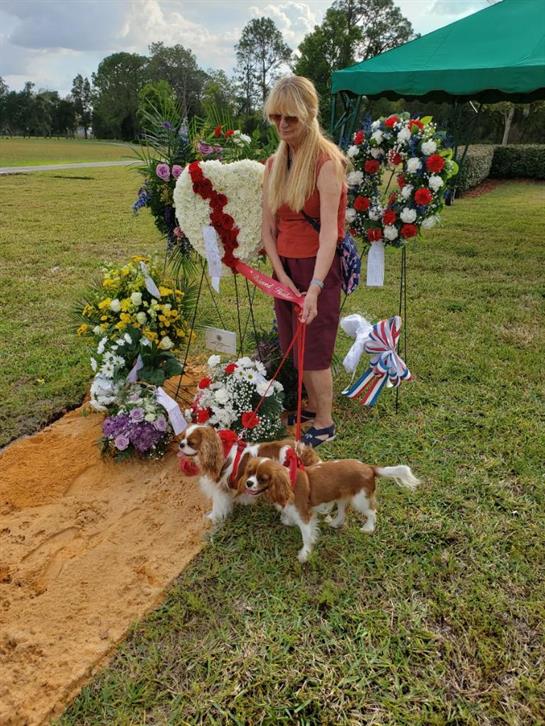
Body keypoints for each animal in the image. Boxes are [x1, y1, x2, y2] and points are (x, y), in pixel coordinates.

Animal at [178, 424, 320, 525]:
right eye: (183, 437)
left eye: (191, 443)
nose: (181, 444)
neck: (221, 449)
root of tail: (301, 450)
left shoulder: (219, 489)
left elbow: (217, 505)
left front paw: (213, 517)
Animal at [240, 456, 420, 562]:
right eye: (249, 473)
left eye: (262, 479)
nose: (248, 483)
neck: (288, 482)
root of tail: (369, 468)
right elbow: (287, 517)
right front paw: (287, 520)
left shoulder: (304, 515)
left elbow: (306, 536)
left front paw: (305, 554)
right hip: (342, 496)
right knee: (342, 511)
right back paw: (335, 523)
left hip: (360, 499)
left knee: (371, 512)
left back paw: (368, 528)